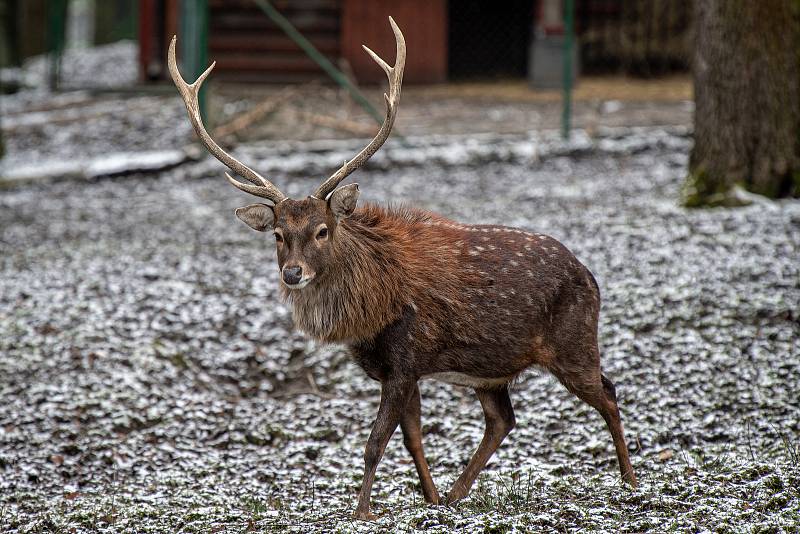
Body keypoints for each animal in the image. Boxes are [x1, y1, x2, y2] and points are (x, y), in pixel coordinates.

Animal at [167, 17, 636, 524]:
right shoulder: (400, 371)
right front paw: (430, 500)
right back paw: (456, 495)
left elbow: (375, 443)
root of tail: (590, 275)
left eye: (322, 230)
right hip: (490, 368)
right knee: (502, 419)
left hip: (574, 342)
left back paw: (630, 480)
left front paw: (361, 511)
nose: (293, 274)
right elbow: (412, 440)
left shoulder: (407, 359)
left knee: (608, 392)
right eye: (277, 234)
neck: (369, 314)